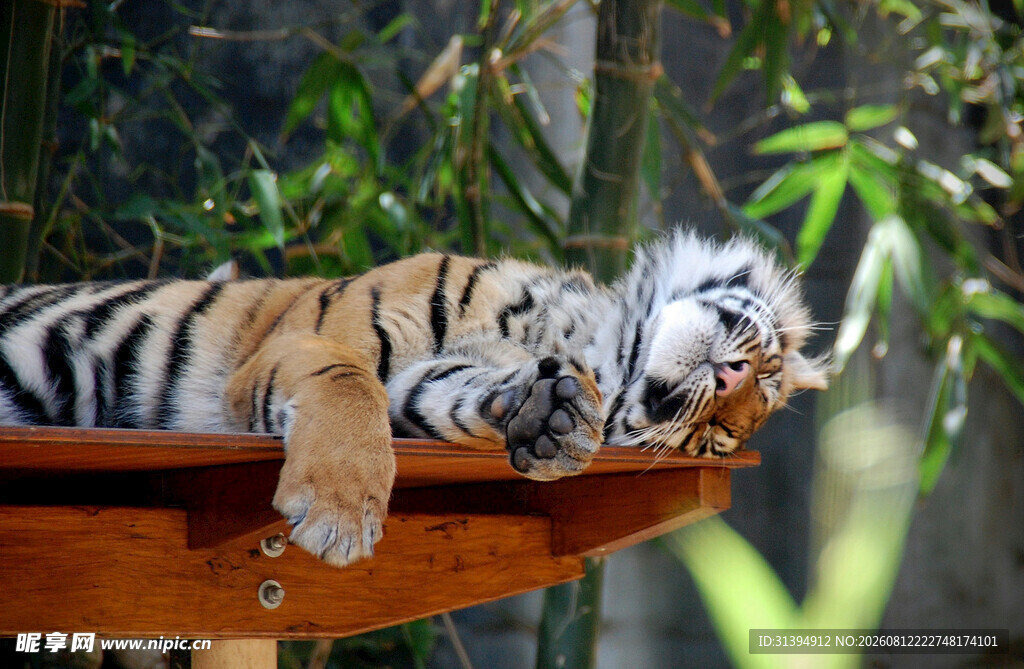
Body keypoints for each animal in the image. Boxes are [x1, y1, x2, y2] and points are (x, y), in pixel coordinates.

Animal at [0, 232, 827, 566]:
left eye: (711, 443)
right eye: (761, 366)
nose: (728, 386)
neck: (570, 335)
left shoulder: (426, 385)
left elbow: (451, 395)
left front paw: (554, 420)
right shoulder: (312, 340)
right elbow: (350, 385)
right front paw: (339, 518)